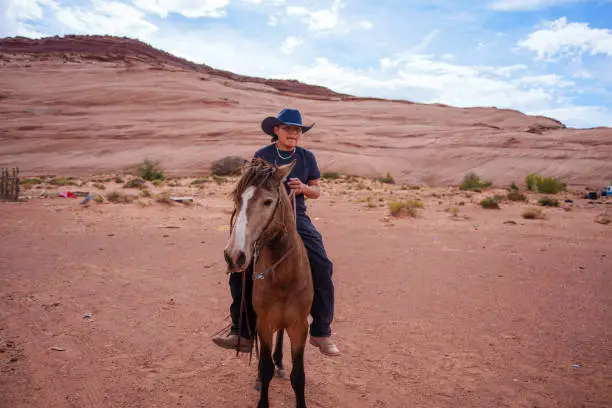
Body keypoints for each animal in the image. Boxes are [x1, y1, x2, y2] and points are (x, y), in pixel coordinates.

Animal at [222, 157, 314, 408]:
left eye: (268, 201)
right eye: (238, 199)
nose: (234, 255)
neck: (284, 278)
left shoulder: (299, 327)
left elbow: (298, 376)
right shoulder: (264, 324)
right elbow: (265, 369)